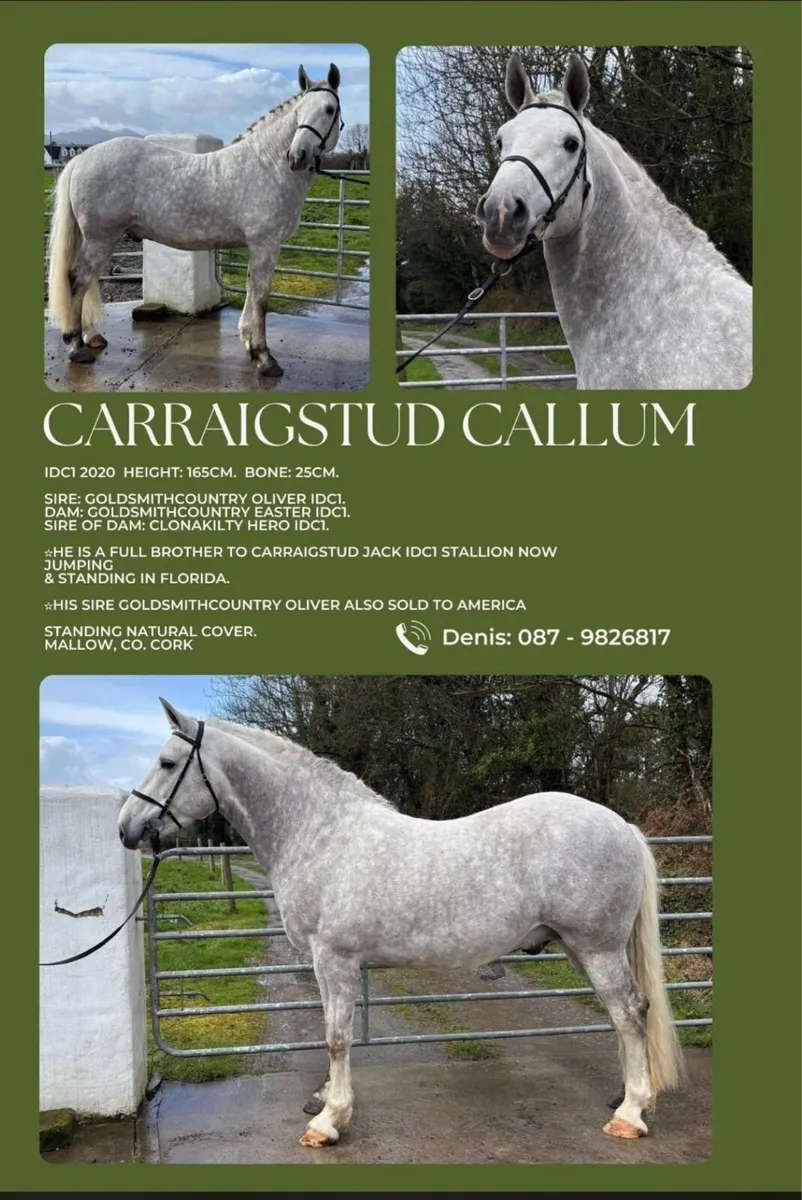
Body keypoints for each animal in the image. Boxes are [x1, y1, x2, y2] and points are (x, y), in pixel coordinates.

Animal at [47, 64, 343, 377]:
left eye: (328, 109)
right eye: (299, 112)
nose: (297, 156)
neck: (266, 165)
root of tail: (82, 159)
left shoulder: (259, 247)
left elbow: (251, 289)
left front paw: (249, 344)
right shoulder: (266, 245)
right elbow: (261, 298)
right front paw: (265, 357)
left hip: (98, 239)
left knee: (87, 282)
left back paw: (91, 337)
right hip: (100, 239)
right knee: (78, 280)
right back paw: (77, 347)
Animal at [117, 699, 683, 1149]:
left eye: (167, 762)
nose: (126, 828)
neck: (320, 835)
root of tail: (623, 826)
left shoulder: (335, 959)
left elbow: (336, 1037)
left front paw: (328, 1122)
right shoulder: (327, 964)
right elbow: (332, 1032)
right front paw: (326, 1101)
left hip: (597, 947)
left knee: (630, 1013)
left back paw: (631, 1114)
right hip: (581, 947)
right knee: (623, 1016)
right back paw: (629, 1097)